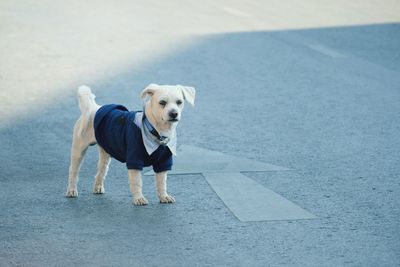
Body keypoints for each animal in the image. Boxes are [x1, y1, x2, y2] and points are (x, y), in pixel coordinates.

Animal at [65, 84, 195, 205]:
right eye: (162, 102)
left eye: (179, 102)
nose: (174, 113)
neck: (156, 131)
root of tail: (92, 108)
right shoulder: (134, 159)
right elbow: (137, 182)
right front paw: (138, 198)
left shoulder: (163, 162)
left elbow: (162, 182)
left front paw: (164, 196)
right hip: (78, 150)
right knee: (73, 171)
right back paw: (71, 190)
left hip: (105, 153)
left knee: (101, 171)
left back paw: (98, 187)